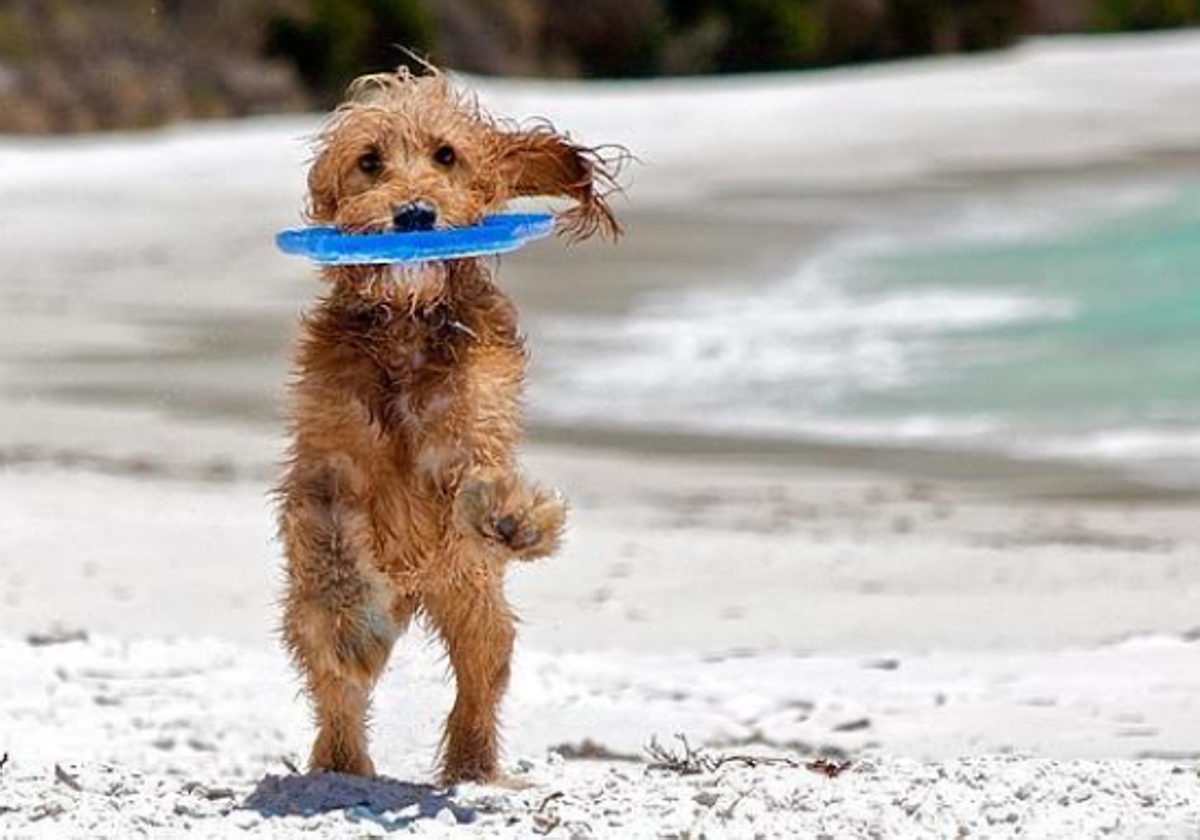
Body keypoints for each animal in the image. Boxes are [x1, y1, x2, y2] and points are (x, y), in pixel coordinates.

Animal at [277, 67, 624, 787]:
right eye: (369, 161)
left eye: (446, 155)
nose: (414, 215)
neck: (406, 327)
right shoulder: (324, 469)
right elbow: (332, 548)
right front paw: (352, 626)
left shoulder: (470, 434)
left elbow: (479, 480)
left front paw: (514, 517)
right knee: (335, 686)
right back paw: (342, 762)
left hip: (473, 602)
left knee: (481, 677)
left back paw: (474, 767)